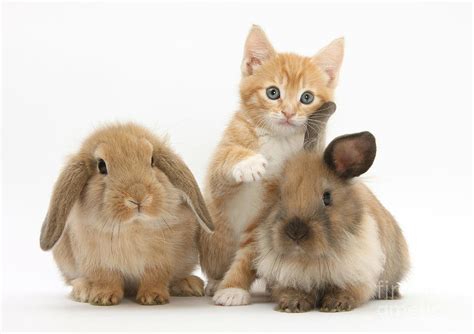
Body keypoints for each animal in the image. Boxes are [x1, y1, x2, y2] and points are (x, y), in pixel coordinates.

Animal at [40, 122, 215, 306]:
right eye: (101, 166)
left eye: (152, 161)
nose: (138, 196)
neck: (133, 227)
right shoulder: (99, 261)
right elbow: (106, 278)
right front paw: (103, 297)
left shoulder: (162, 260)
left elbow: (155, 277)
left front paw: (153, 297)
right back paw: (84, 289)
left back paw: (188, 284)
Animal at [198, 25, 342, 294]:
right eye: (273, 93)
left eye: (306, 98)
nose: (288, 113)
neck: (277, 138)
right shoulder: (217, 180)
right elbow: (225, 161)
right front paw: (250, 163)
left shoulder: (272, 206)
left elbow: (253, 248)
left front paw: (233, 289)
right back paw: (215, 282)